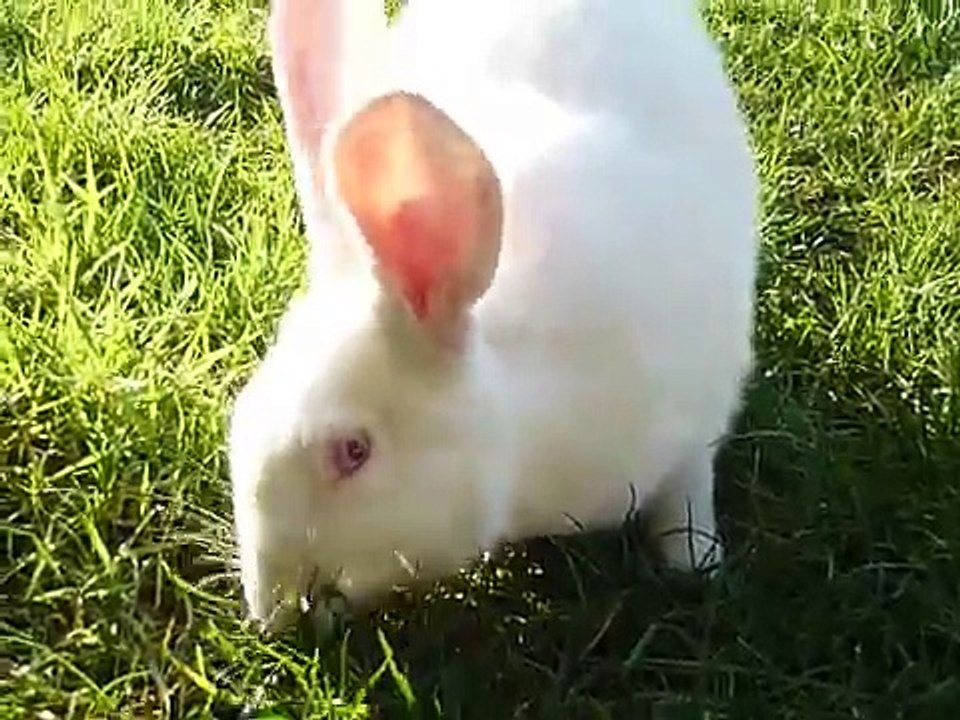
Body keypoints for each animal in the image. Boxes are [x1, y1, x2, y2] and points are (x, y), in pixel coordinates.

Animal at [228, 0, 759, 629]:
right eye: (241, 411)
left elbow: (688, 492)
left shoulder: (698, 418)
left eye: (353, 451)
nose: (269, 612)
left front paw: (695, 562)